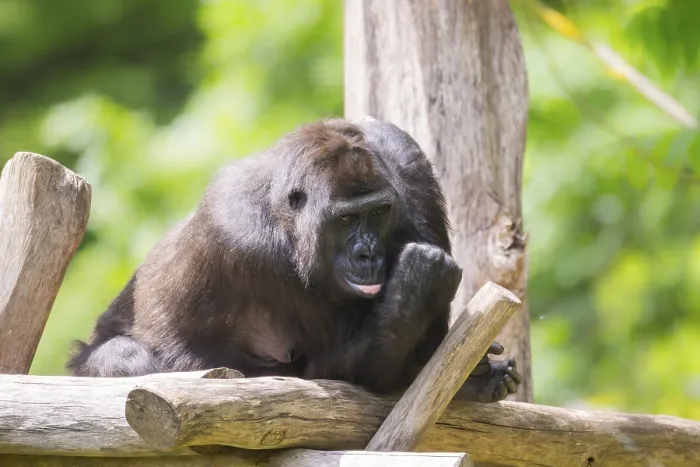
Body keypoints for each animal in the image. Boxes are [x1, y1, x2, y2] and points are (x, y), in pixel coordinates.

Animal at [68, 117, 521, 403]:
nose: (368, 253)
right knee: (128, 357)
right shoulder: (236, 235)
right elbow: (347, 371)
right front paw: (418, 286)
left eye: (377, 213)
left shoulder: (408, 163)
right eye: (346, 219)